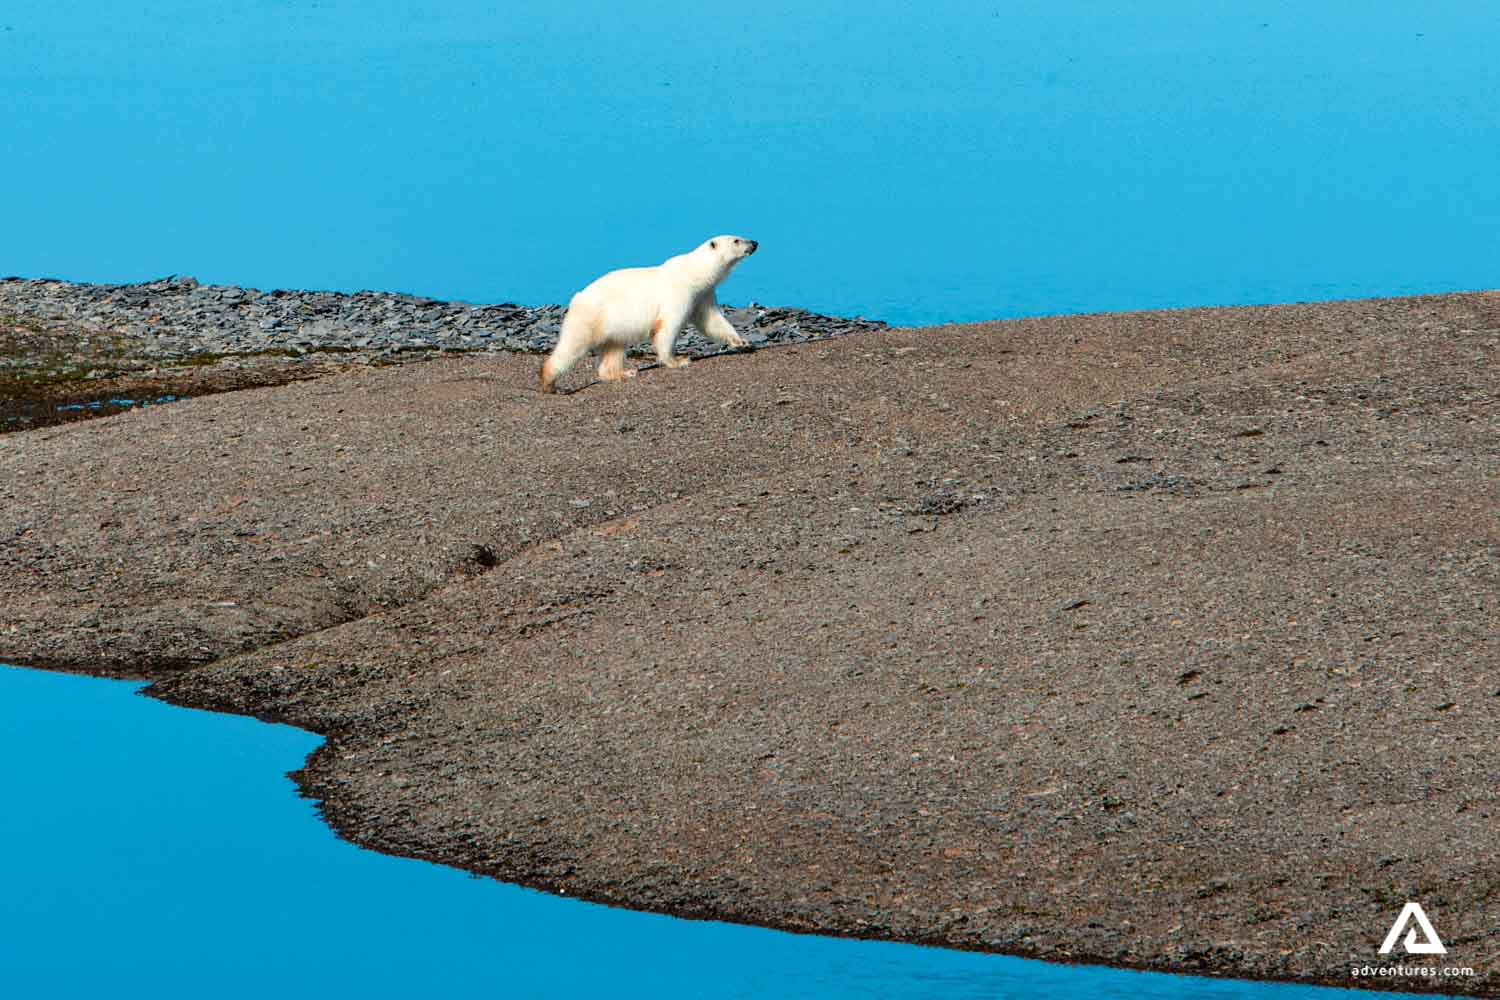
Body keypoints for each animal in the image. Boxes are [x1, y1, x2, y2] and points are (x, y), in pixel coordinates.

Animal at [539, 235, 759, 393]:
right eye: (736, 240)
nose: (755, 242)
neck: (694, 273)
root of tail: (577, 298)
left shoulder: (703, 294)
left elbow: (712, 321)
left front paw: (743, 342)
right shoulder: (679, 292)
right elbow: (669, 326)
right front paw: (678, 360)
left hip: (614, 324)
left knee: (614, 348)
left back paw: (623, 373)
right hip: (590, 317)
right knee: (573, 346)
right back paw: (550, 382)